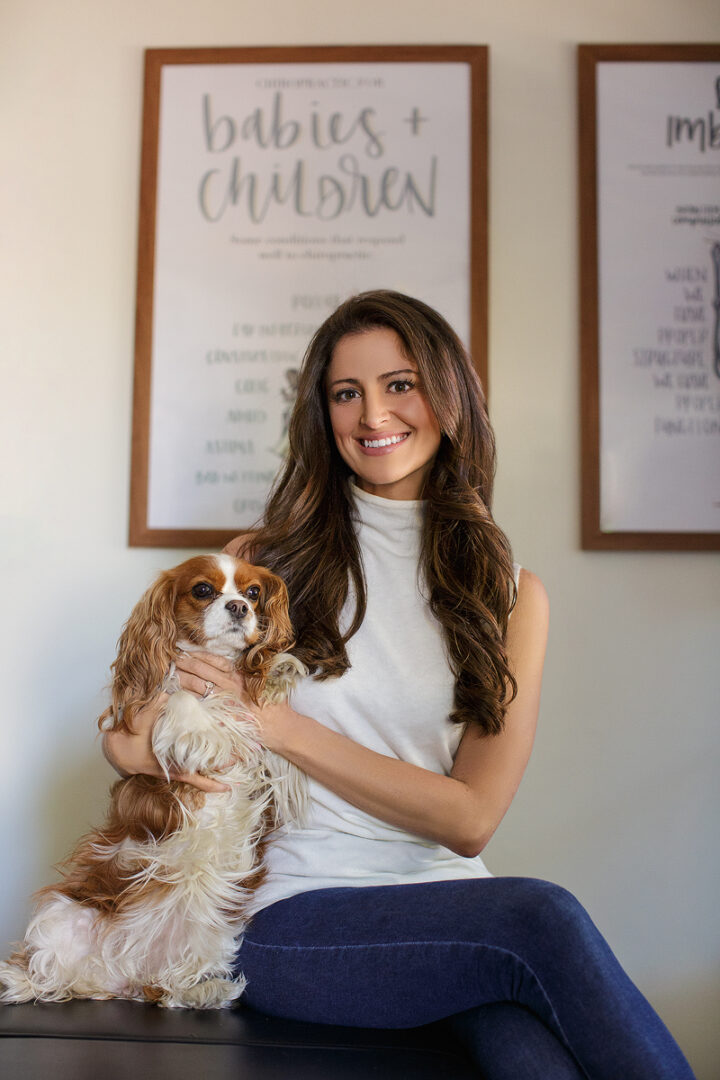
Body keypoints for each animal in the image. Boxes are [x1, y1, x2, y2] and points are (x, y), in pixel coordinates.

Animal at [0, 557, 306, 1010]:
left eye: (253, 593)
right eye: (202, 590)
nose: (238, 607)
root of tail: (118, 976)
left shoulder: (264, 756)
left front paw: (275, 668)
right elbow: (175, 696)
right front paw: (197, 729)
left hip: (210, 931)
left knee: (166, 989)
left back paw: (202, 990)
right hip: (62, 913)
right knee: (49, 974)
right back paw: (20, 981)